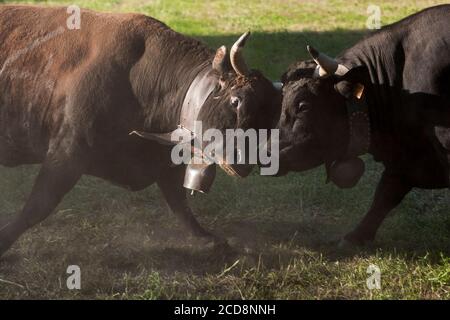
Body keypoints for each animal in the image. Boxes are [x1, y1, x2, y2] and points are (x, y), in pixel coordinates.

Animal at [0, 5, 282, 258]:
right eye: (236, 101)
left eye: (272, 119)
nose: (244, 164)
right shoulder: (67, 151)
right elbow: (39, 205)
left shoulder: (164, 162)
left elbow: (180, 204)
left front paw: (210, 239)